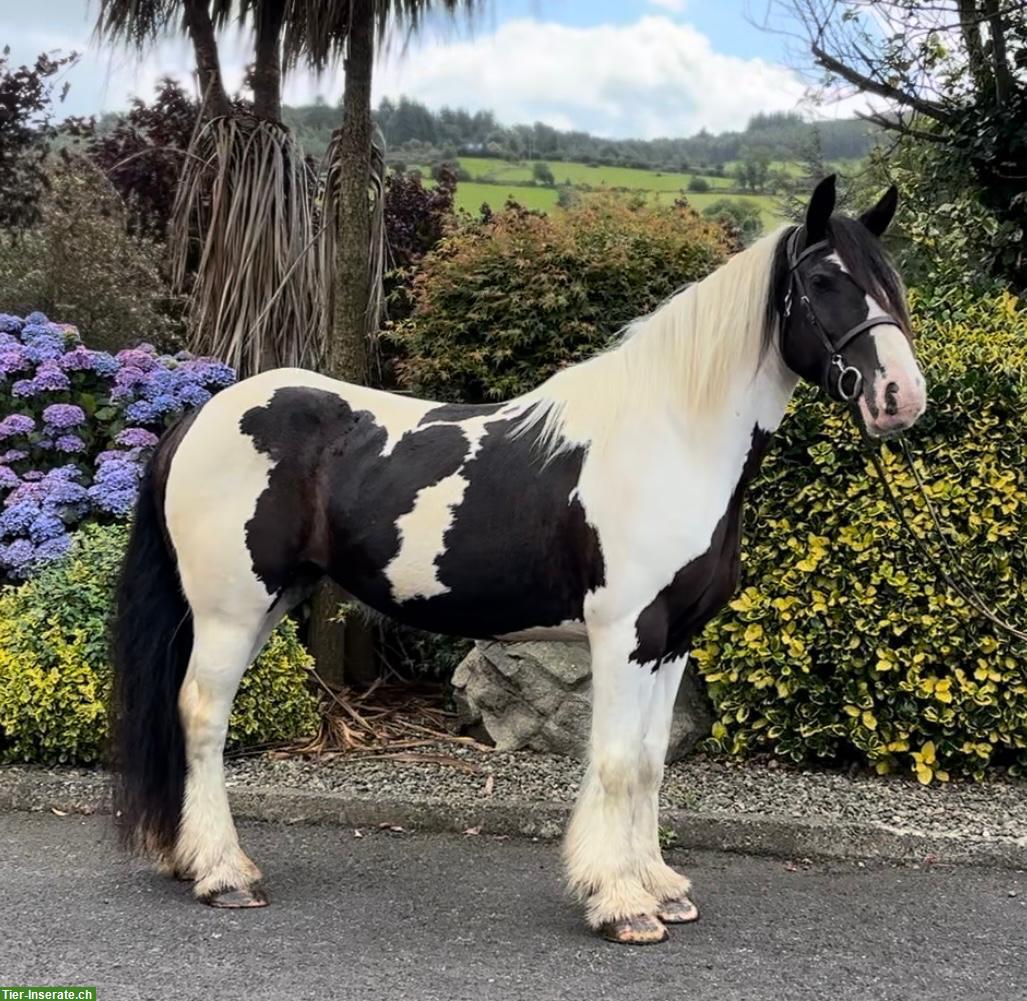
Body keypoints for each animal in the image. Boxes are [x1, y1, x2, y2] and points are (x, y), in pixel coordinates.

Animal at [114, 177, 932, 948]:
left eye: (890, 279)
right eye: (823, 279)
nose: (900, 396)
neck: (673, 441)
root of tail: (199, 416)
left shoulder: (672, 641)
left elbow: (650, 760)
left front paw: (661, 888)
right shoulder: (625, 636)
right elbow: (615, 761)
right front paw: (621, 905)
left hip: (267, 604)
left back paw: (194, 859)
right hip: (232, 610)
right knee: (203, 717)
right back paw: (224, 875)